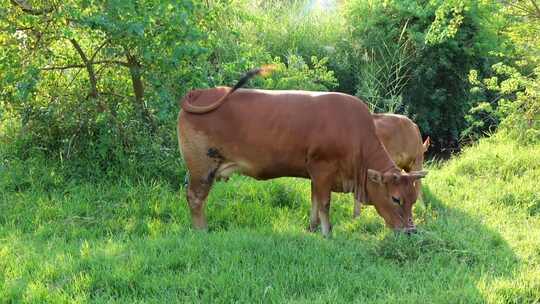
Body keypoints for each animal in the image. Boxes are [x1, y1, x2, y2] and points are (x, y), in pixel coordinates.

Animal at [177, 67, 426, 236]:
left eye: (413, 199)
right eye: (395, 199)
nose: (411, 231)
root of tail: (198, 93)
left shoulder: (315, 174)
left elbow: (314, 201)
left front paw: (312, 228)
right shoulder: (323, 169)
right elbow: (324, 204)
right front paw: (327, 233)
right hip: (202, 168)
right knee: (195, 198)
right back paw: (201, 230)